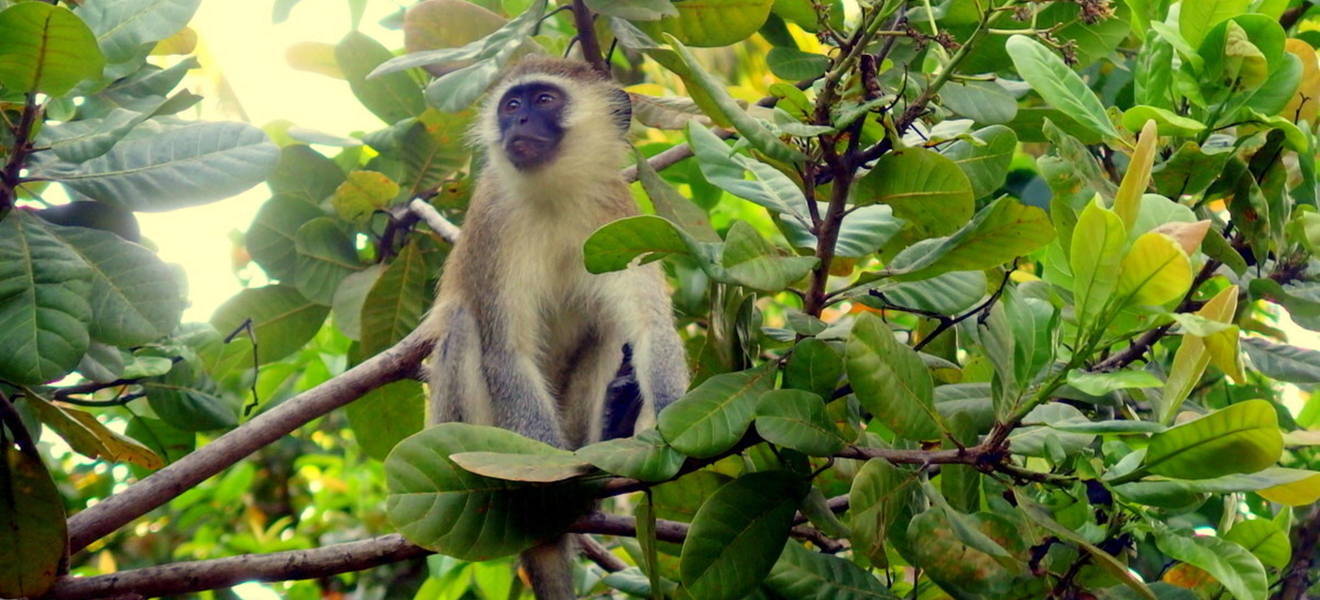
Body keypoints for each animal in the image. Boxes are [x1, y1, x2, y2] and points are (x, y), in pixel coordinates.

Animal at [421, 58, 690, 599]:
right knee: (464, 325)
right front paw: (552, 482)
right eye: (511, 105)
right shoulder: (493, 226)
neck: (555, 194)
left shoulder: (618, 217)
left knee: (605, 330)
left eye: (544, 100)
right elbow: (507, 354)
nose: (519, 122)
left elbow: (649, 327)